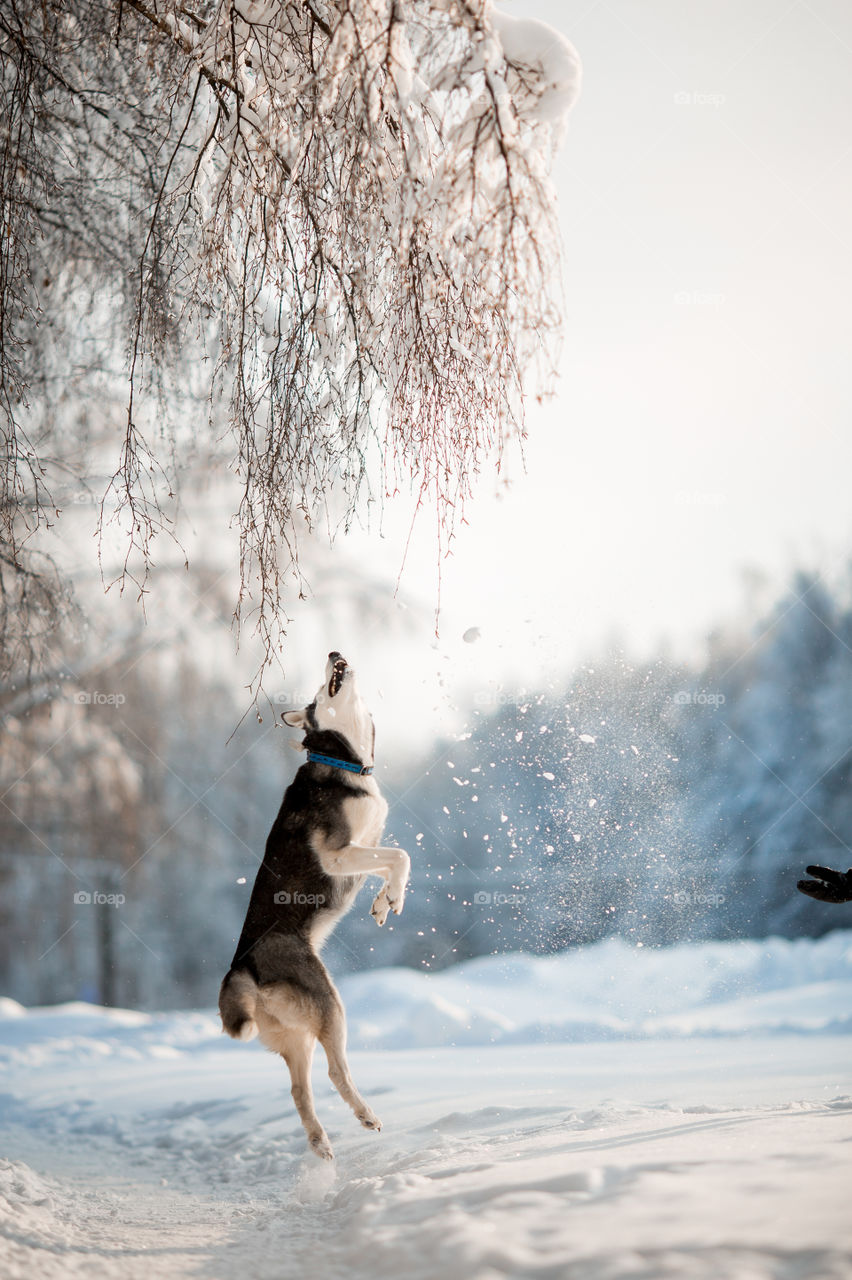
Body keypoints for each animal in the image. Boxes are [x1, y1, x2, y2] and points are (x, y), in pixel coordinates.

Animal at [217, 650, 406, 1162]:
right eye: (320, 691)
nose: (334, 653)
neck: (343, 758)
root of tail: (242, 968)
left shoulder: (365, 848)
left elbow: (390, 862)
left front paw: (384, 903)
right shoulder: (341, 853)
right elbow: (400, 856)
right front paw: (393, 896)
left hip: (294, 1036)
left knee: (299, 1090)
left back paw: (321, 1143)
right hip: (329, 1005)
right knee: (335, 1071)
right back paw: (366, 1115)